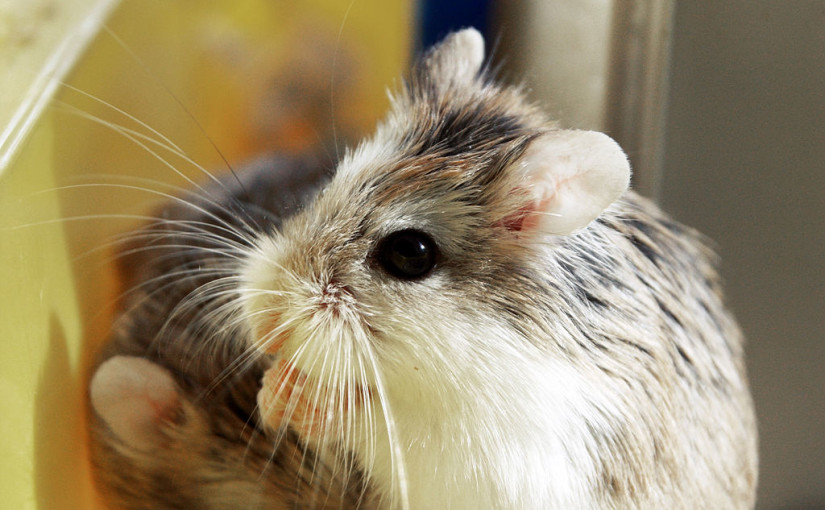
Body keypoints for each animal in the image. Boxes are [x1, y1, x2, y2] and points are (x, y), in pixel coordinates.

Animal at [89, 28, 758, 510]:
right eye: (328, 183)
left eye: (410, 254)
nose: (267, 323)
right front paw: (277, 384)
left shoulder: (492, 452)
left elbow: (378, 426)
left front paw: (290, 396)